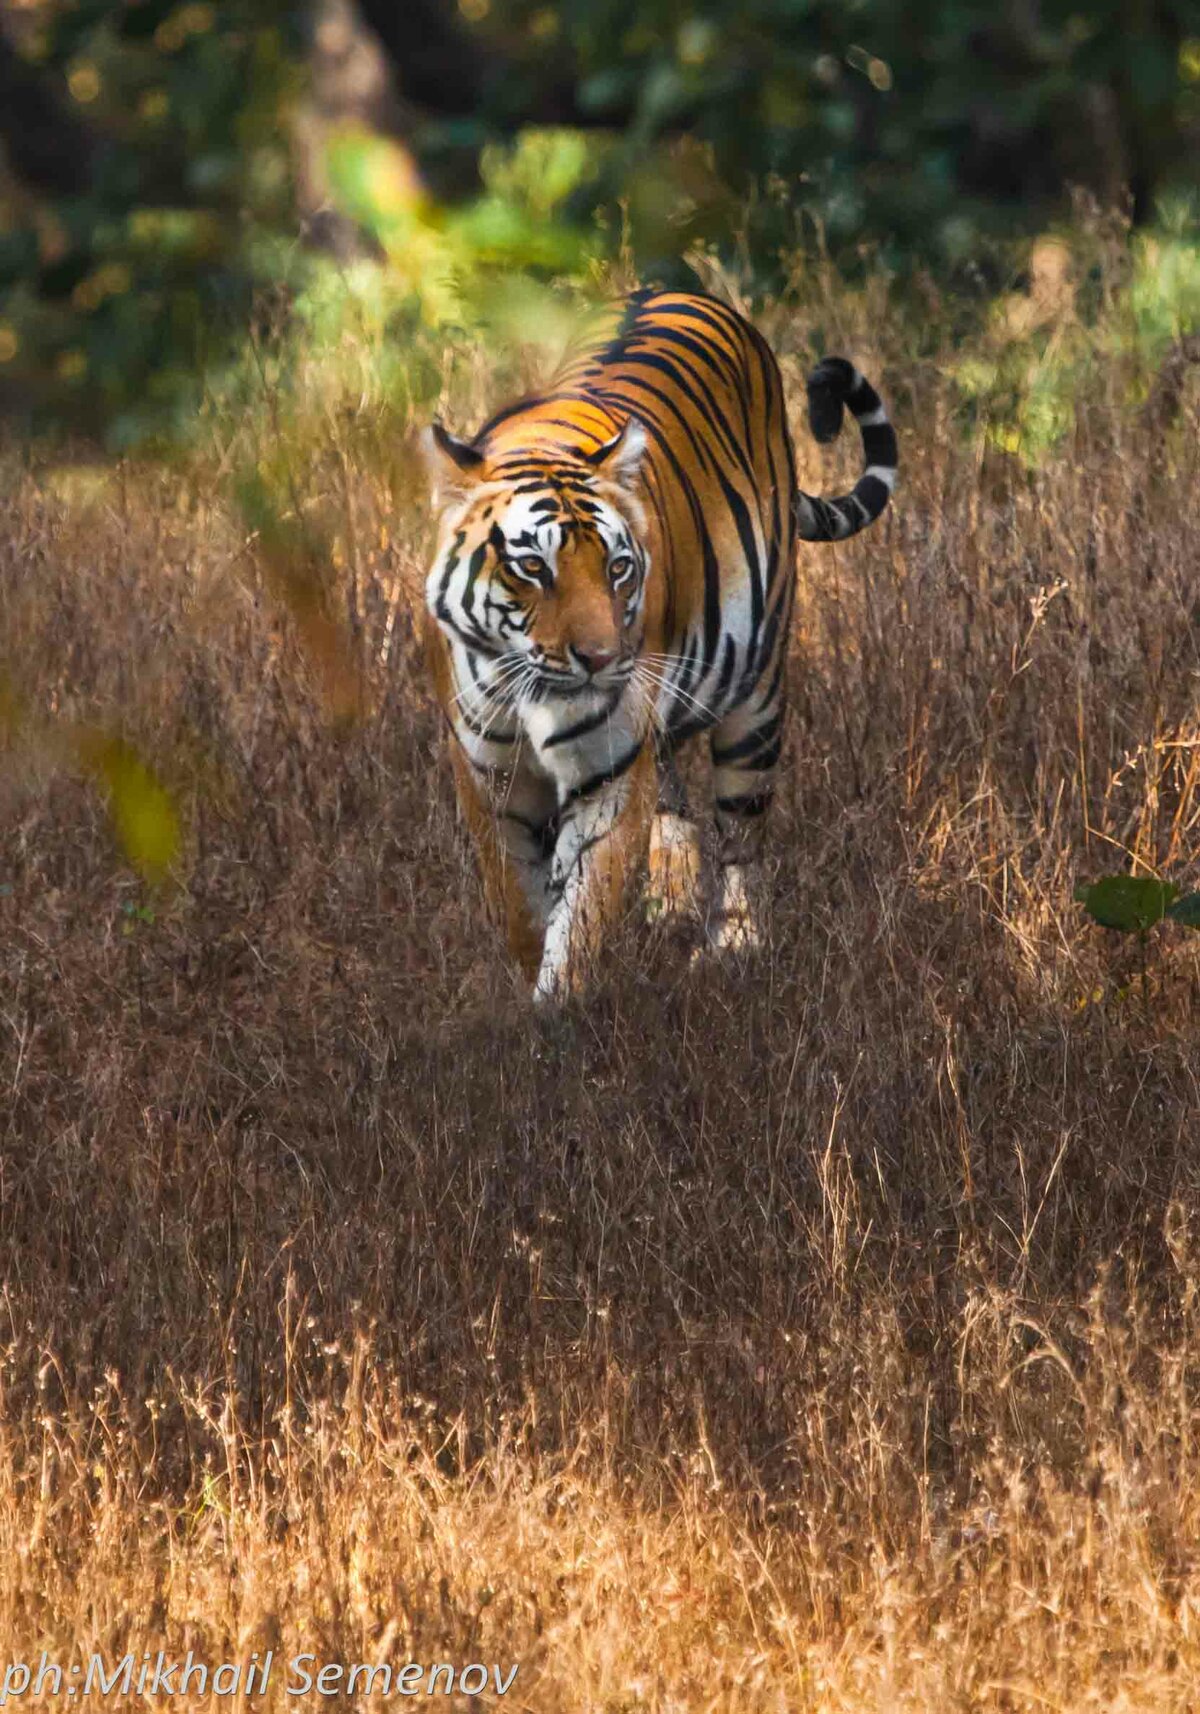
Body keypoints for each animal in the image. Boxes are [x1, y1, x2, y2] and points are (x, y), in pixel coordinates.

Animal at [416, 286, 898, 1000]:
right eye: (532, 567)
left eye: (618, 568)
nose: (600, 660)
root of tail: (676, 291)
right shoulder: (488, 779)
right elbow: (517, 904)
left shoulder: (607, 776)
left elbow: (581, 917)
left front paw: (558, 1010)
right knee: (674, 793)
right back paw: (669, 898)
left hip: (756, 700)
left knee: (741, 833)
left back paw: (732, 947)